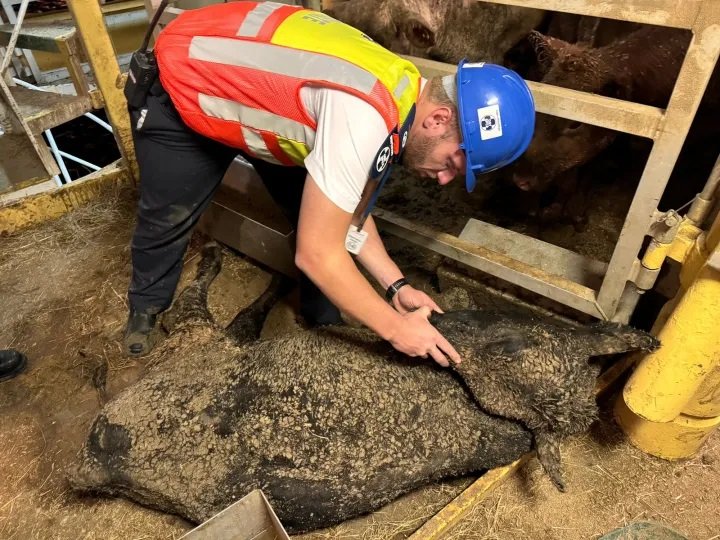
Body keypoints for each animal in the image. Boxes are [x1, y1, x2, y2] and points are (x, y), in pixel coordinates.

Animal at [70, 245, 660, 532]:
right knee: (203, 307)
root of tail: (96, 459)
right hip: (198, 342)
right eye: (511, 343)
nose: (445, 328)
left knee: (208, 315)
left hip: (195, 347)